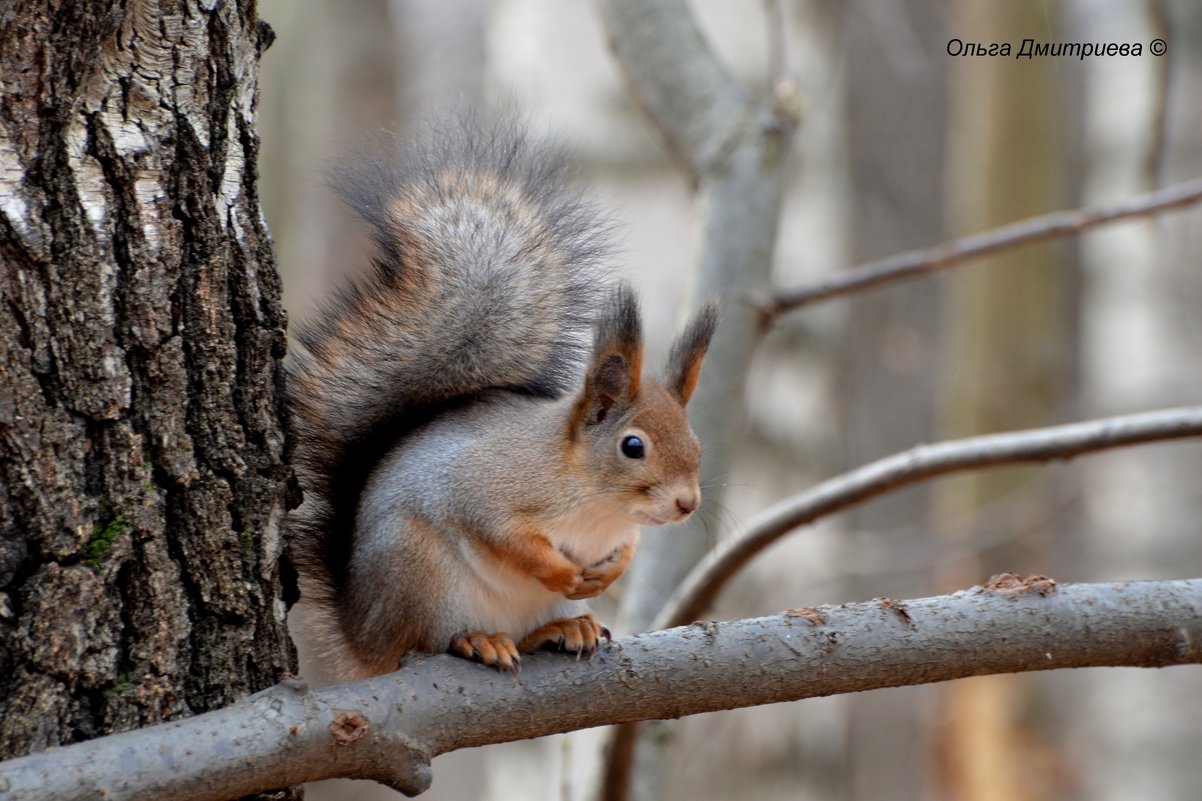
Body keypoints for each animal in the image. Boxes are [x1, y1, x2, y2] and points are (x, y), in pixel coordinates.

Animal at [283, 118, 711, 678]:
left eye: (697, 445)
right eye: (633, 446)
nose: (687, 504)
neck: (599, 505)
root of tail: (360, 636)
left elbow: (629, 546)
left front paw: (614, 569)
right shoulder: (485, 489)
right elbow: (507, 538)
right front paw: (559, 570)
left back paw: (565, 627)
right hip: (418, 570)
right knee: (421, 643)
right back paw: (477, 640)